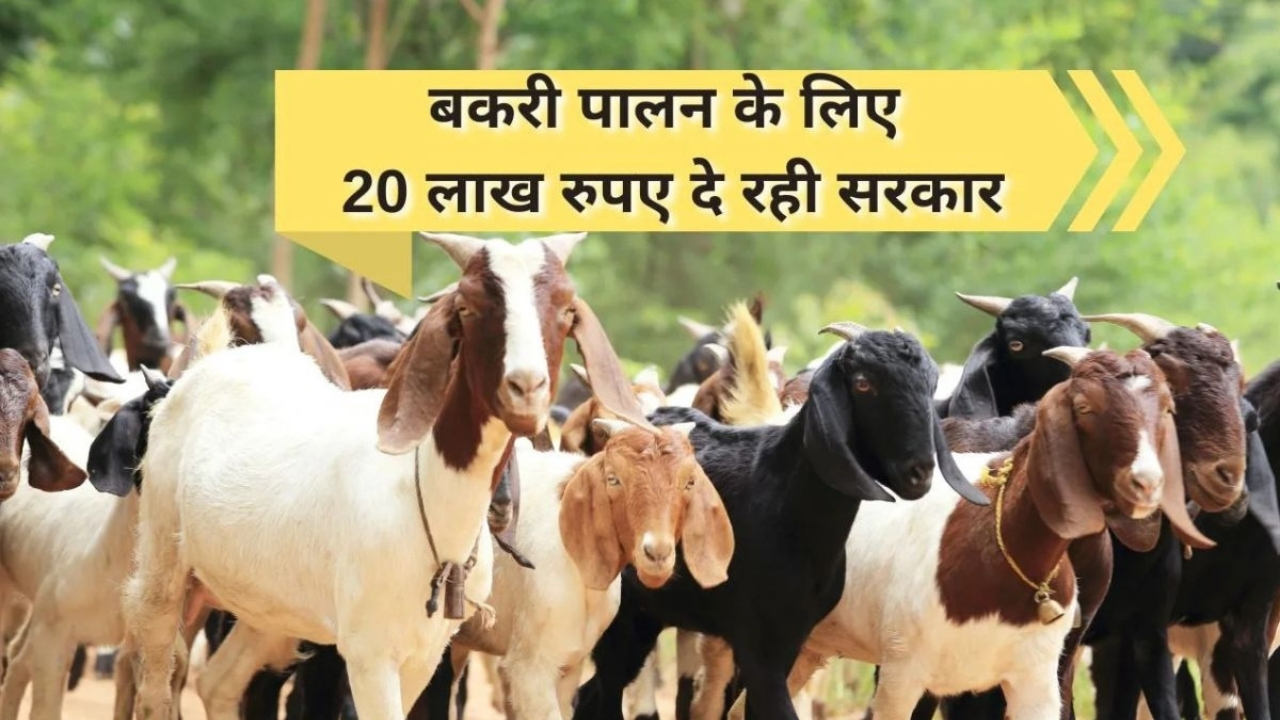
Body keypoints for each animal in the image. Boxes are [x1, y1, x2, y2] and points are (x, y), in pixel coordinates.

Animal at [122, 231, 649, 720]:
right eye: (468, 305)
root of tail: (211, 363)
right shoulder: (368, 655)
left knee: (219, 683)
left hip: (266, 607)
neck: (427, 500)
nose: (527, 387)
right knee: (154, 684)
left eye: (565, 310)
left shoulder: (424, 654)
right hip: (163, 567)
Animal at [571, 322, 989, 720]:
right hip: (621, 616)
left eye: (930, 385)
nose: (919, 472)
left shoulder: (791, 638)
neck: (788, 506)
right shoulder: (758, 645)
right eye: (863, 383)